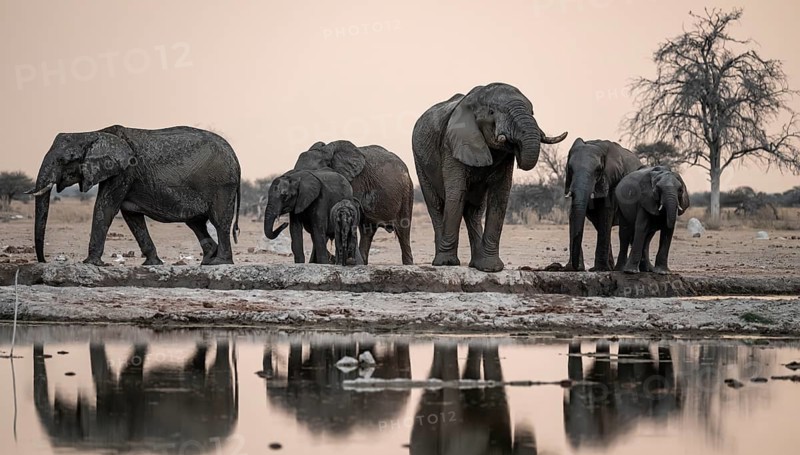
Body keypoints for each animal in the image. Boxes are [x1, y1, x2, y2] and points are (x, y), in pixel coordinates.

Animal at [28, 125, 241, 266]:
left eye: (65, 160)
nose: (43, 261)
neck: (94, 132)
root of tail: (235, 158)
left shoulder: (124, 171)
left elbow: (105, 207)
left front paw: (89, 263)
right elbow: (131, 215)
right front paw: (152, 264)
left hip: (222, 185)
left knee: (219, 222)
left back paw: (220, 262)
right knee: (196, 224)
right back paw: (207, 261)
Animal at [412, 82, 567, 272]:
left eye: (532, 111)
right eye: (492, 112)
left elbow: (500, 196)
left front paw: (492, 268)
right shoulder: (452, 144)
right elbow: (456, 194)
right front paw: (447, 264)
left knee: (474, 210)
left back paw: (477, 264)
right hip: (419, 161)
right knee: (435, 205)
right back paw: (442, 261)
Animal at [563, 138, 642, 271]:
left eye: (598, 170)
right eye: (570, 169)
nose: (576, 267)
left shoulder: (612, 181)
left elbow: (605, 214)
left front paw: (600, 269)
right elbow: (573, 214)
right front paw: (573, 269)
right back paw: (611, 267)